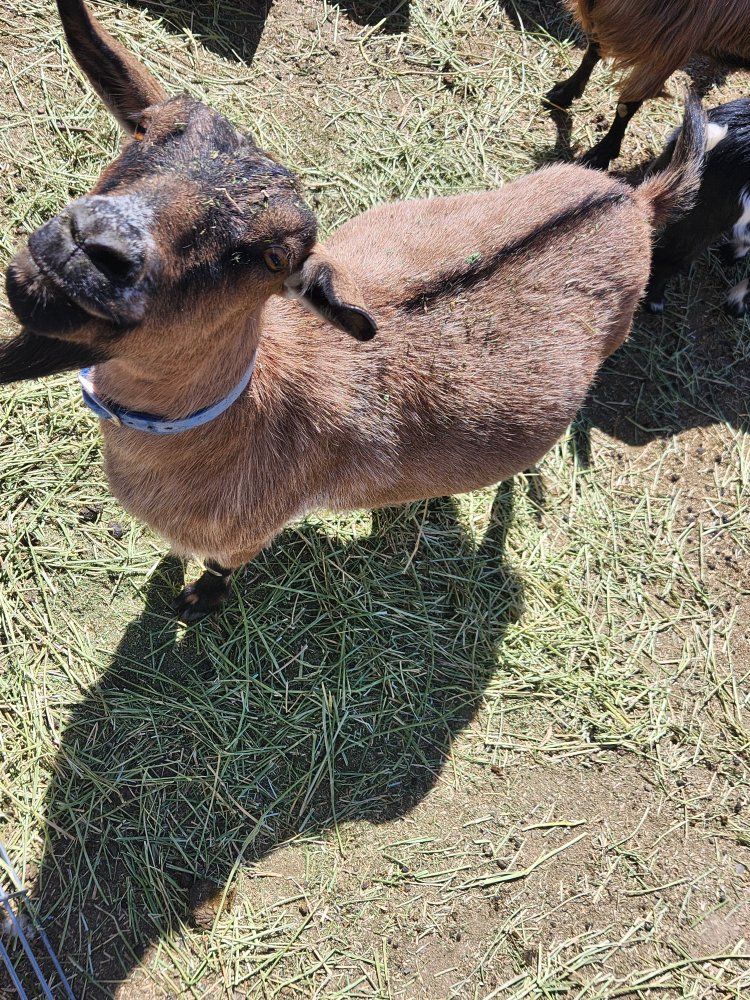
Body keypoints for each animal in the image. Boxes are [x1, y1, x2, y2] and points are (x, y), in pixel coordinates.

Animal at [1, 0, 706, 620]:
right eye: (144, 131)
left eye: (270, 258)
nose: (93, 246)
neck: (245, 414)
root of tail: (634, 201)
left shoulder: (248, 530)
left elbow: (221, 570)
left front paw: (197, 602)